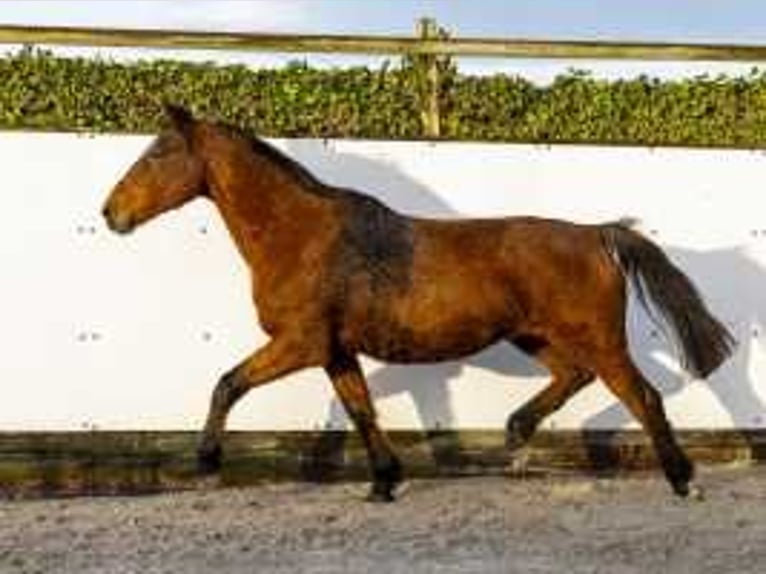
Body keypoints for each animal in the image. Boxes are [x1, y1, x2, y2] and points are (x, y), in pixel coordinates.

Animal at [102, 106, 736, 502]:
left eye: (157, 153)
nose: (111, 213)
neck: (302, 236)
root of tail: (597, 234)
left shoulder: (300, 343)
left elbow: (228, 383)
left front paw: (207, 460)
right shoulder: (335, 351)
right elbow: (360, 410)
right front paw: (385, 482)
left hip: (597, 338)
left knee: (644, 396)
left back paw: (684, 481)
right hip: (537, 335)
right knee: (575, 377)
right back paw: (516, 433)